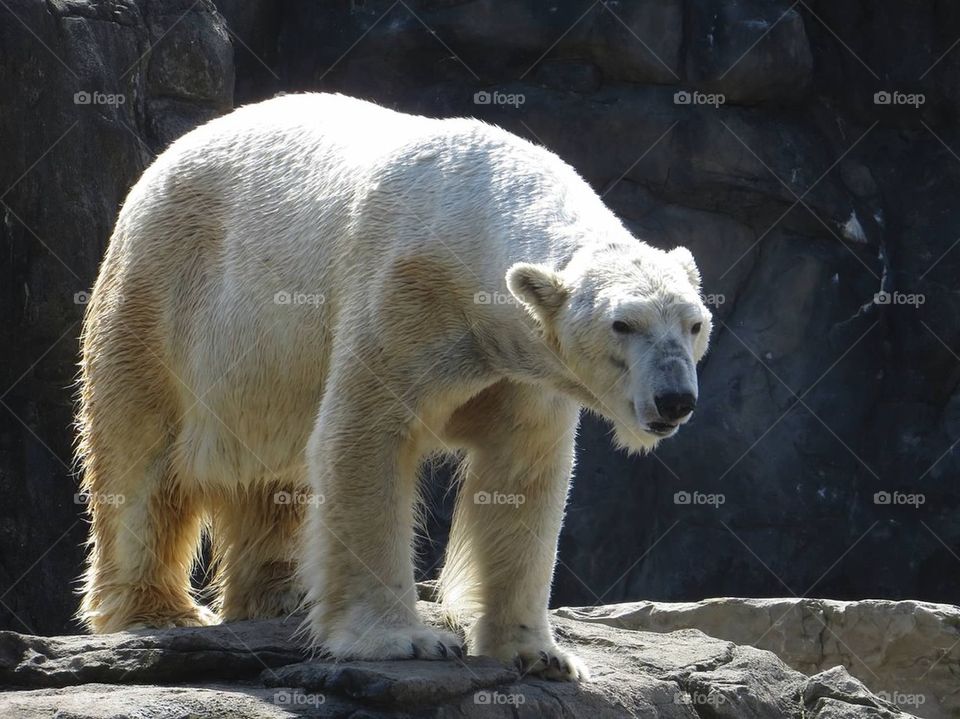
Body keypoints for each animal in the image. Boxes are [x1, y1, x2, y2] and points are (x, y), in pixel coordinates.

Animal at [77, 92, 711, 681]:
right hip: (162, 296)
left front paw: (541, 653)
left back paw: (282, 595)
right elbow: (363, 438)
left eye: (695, 323)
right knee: (142, 455)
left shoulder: (519, 365)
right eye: (623, 324)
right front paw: (406, 640)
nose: (675, 399)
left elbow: (524, 471)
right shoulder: (403, 292)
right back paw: (161, 611)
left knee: (272, 479)